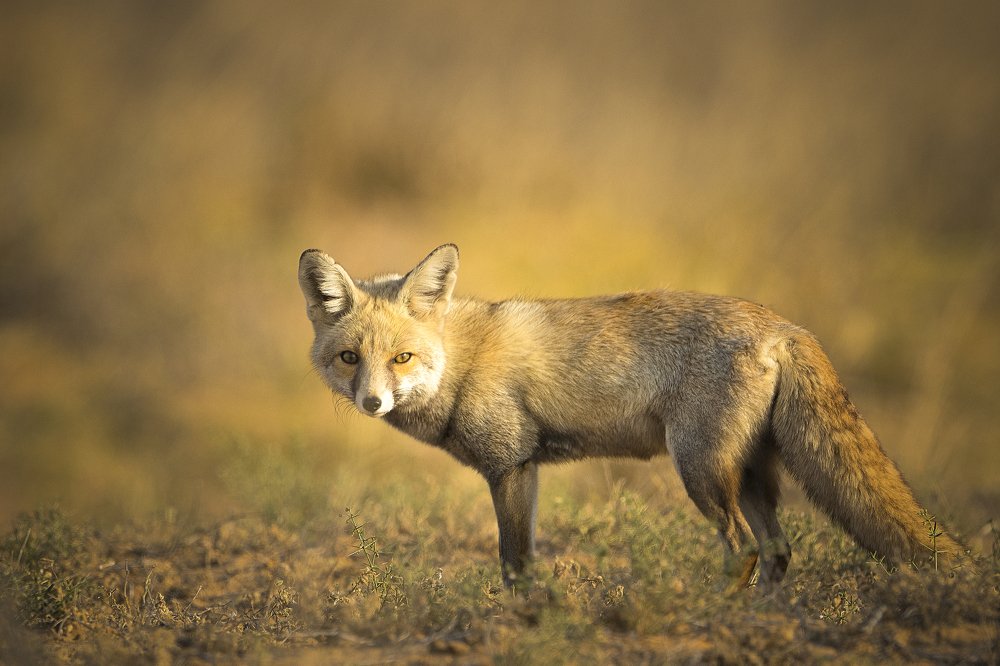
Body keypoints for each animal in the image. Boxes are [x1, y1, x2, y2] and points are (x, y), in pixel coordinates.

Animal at [298, 243, 965, 589]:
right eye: (350, 358)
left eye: (402, 358)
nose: (372, 402)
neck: (461, 364)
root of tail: (785, 325)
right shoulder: (525, 470)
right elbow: (521, 557)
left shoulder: (511, 466)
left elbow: (515, 562)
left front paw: (520, 619)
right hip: (748, 473)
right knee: (777, 551)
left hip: (701, 471)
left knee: (744, 549)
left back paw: (714, 612)